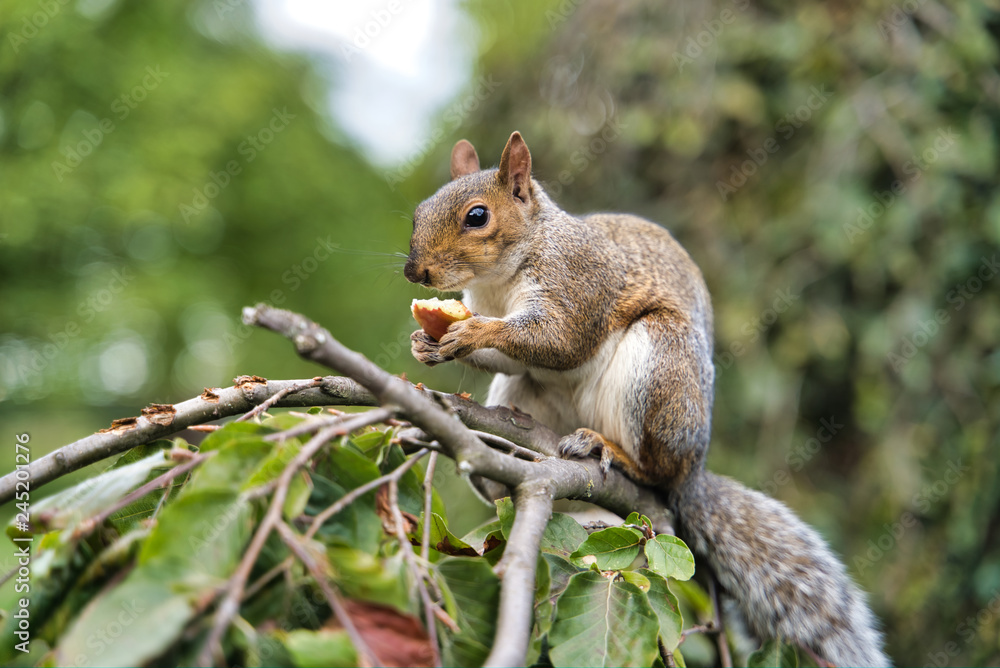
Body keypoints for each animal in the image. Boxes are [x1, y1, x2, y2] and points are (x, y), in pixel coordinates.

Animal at [402, 132, 888, 668]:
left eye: (477, 216)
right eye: (418, 212)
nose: (415, 271)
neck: (503, 276)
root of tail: (693, 472)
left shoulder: (579, 282)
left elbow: (559, 341)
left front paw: (472, 332)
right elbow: (508, 360)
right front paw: (426, 345)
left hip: (660, 369)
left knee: (655, 469)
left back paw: (609, 451)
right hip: (528, 396)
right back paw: (500, 464)